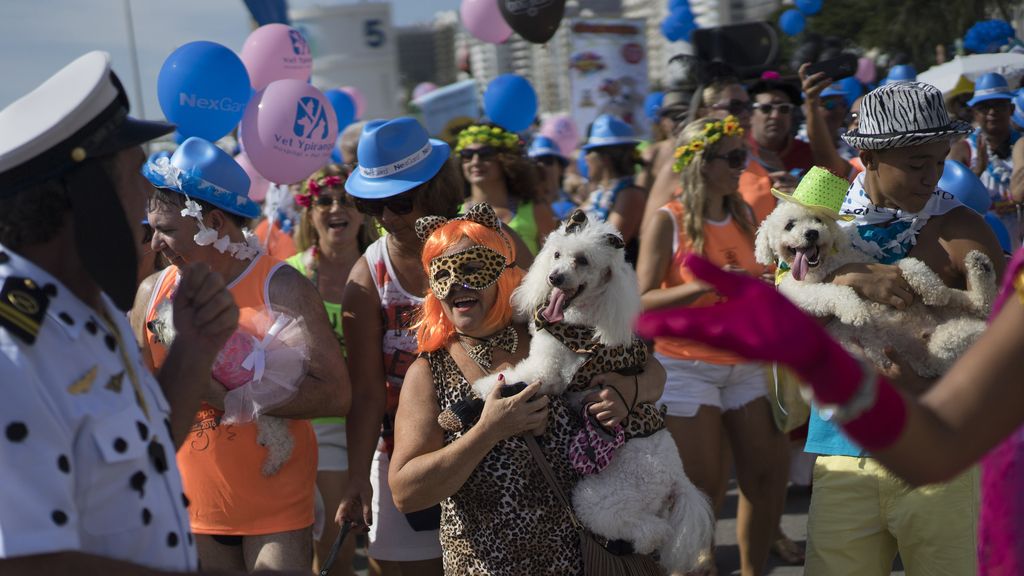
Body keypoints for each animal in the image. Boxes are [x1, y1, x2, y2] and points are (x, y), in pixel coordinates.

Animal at [471, 210, 712, 569]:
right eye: (556, 255)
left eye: (582, 260)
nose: (555, 278)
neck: (583, 315)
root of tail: (676, 479)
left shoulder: (548, 370)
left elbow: (521, 374)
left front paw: (485, 386)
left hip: (598, 499)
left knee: (653, 531)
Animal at [757, 201, 995, 377]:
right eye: (789, 225)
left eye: (818, 220)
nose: (812, 233)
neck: (825, 266)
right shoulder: (800, 295)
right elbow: (830, 291)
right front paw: (855, 311)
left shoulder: (876, 265)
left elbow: (907, 264)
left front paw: (932, 289)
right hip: (938, 353)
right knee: (958, 330)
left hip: (953, 307)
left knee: (979, 303)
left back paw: (979, 265)